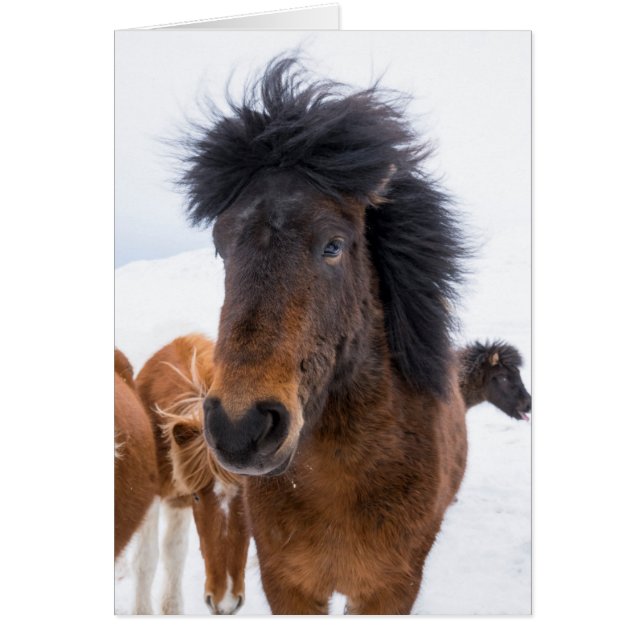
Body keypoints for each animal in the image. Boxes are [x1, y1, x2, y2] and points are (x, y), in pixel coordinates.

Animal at [179, 57, 469, 614]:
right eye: (222, 247)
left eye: (334, 245)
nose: (240, 427)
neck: (338, 485)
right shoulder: (286, 585)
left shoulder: (389, 591)